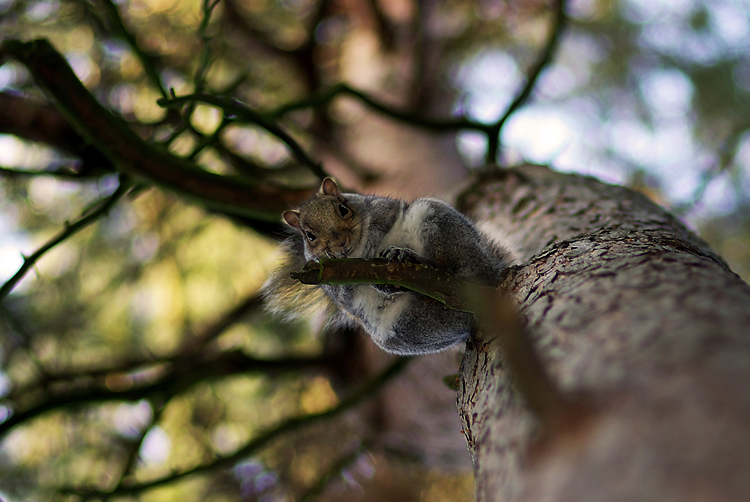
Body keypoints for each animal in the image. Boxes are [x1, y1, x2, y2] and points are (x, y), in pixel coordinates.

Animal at [262, 178, 516, 354]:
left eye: (343, 209)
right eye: (310, 236)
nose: (339, 242)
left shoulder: (382, 208)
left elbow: (383, 221)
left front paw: (373, 243)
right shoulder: (330, 280)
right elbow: (345, 295)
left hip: (441, 224)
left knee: (456, 267)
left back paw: (411, 257)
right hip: (406, 329)